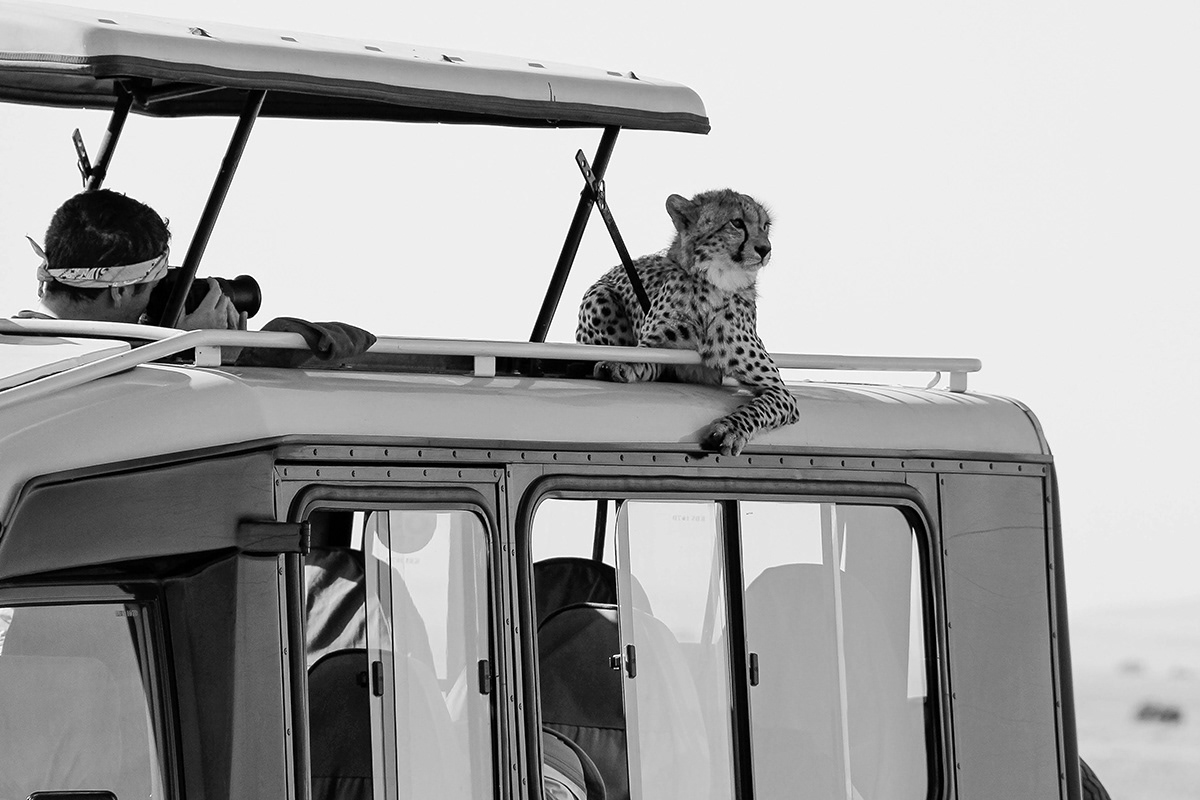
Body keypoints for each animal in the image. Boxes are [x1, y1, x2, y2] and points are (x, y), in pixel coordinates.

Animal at [576, 188, 800, 456]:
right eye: (737, 223)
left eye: (765, 226)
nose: (765, 249)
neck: (716, 285)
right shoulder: (660, 356)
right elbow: (641, 358)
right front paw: (620, 364)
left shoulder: (779, 391)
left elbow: (762, 407)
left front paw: (732, 429)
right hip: (598, 296)